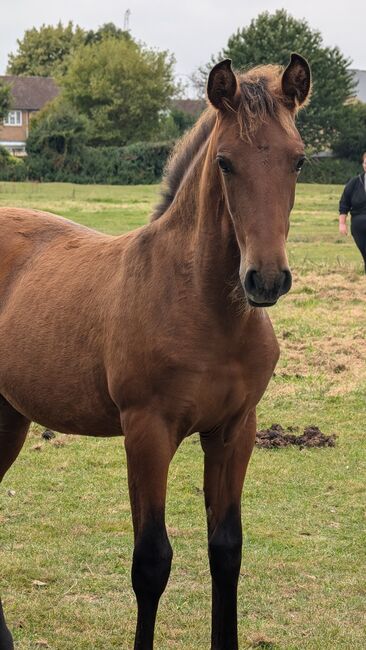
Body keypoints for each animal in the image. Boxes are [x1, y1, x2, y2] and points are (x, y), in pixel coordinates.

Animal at [0, 53, 310, 644]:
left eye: (299, 160)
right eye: (226, 163)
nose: (266, 279)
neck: (203, 306)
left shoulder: (235, 431)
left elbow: (226, 551)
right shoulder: (148, 431)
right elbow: (151, 562)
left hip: (9, 416)